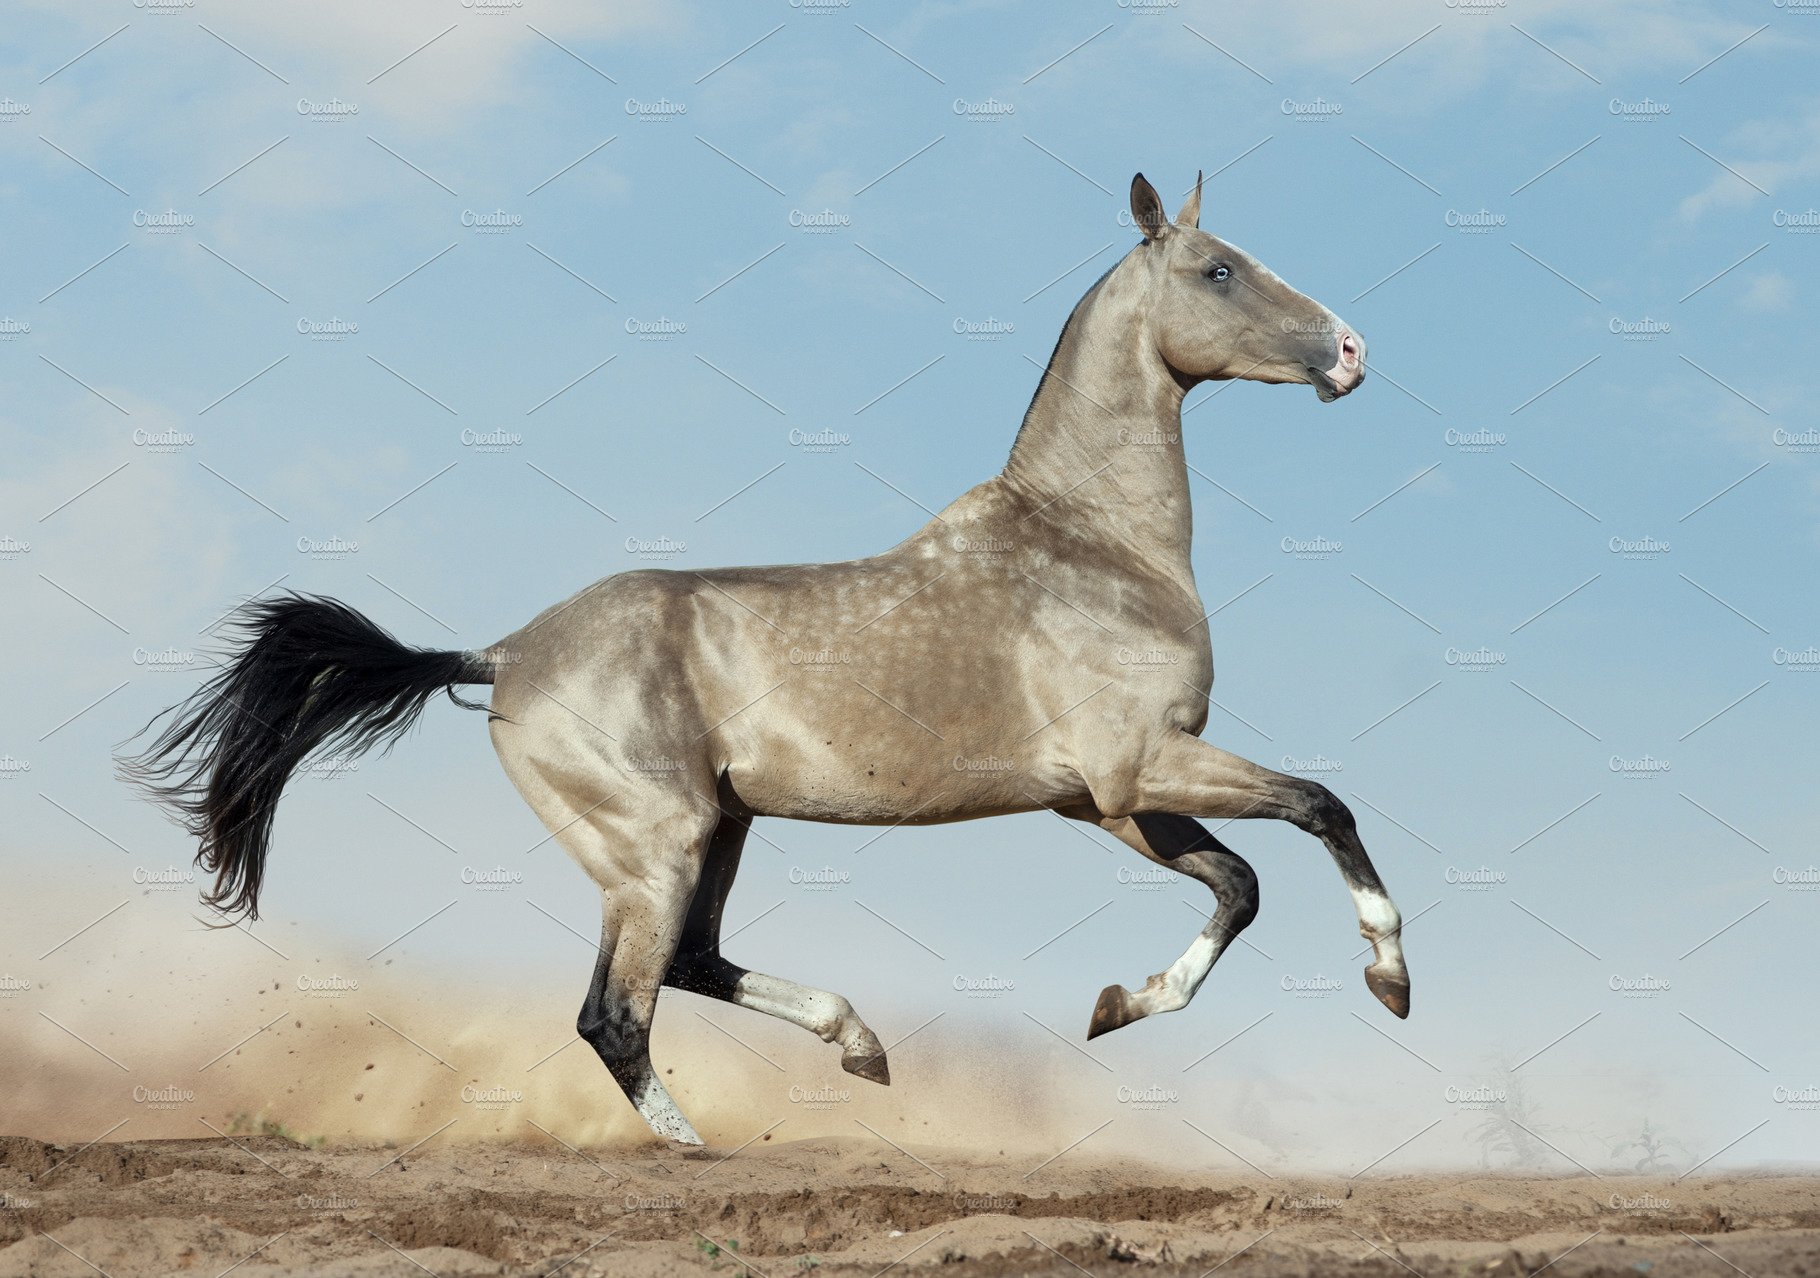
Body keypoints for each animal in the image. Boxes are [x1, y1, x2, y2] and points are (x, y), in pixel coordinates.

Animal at [128, 172, 1405, 1150]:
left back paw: (859, 1046)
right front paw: (1390, 977)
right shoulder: (1142, 765)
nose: (1349, 350)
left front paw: (1115, 1007)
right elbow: (1320, 807)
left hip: (717, 829)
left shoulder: (1104, 798)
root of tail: (504, 654)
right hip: (655, 846)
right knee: (616, 1013)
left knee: (691, 966)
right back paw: (698, 1148)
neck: (1086, 543)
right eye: (1219, 271)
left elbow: (1236, 884)